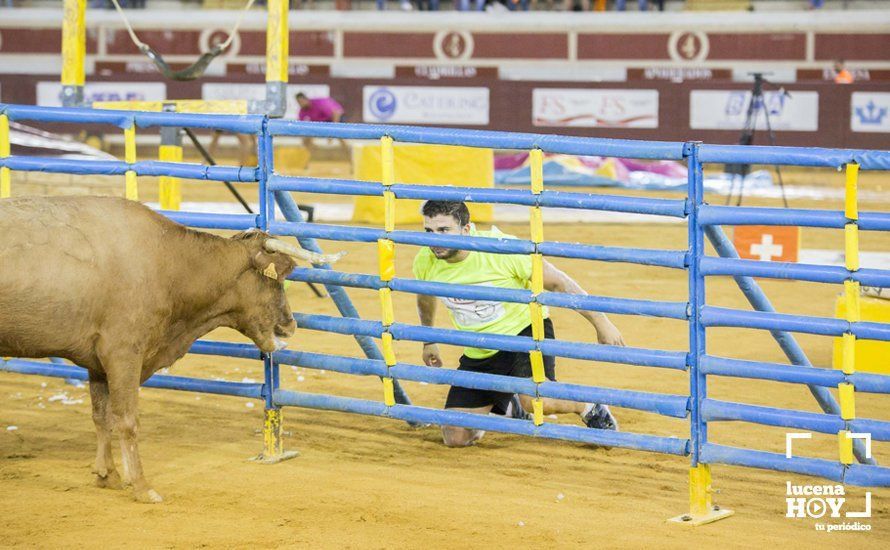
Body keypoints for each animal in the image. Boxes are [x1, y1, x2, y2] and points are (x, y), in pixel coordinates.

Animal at [0, 196, 342, 502]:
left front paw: (107, 474)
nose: (290, 325)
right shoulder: (123, 354)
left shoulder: (97, 362)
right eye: (277, 279)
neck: (169, 262)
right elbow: (127, 420)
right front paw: (141, 486)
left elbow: (102, 417)